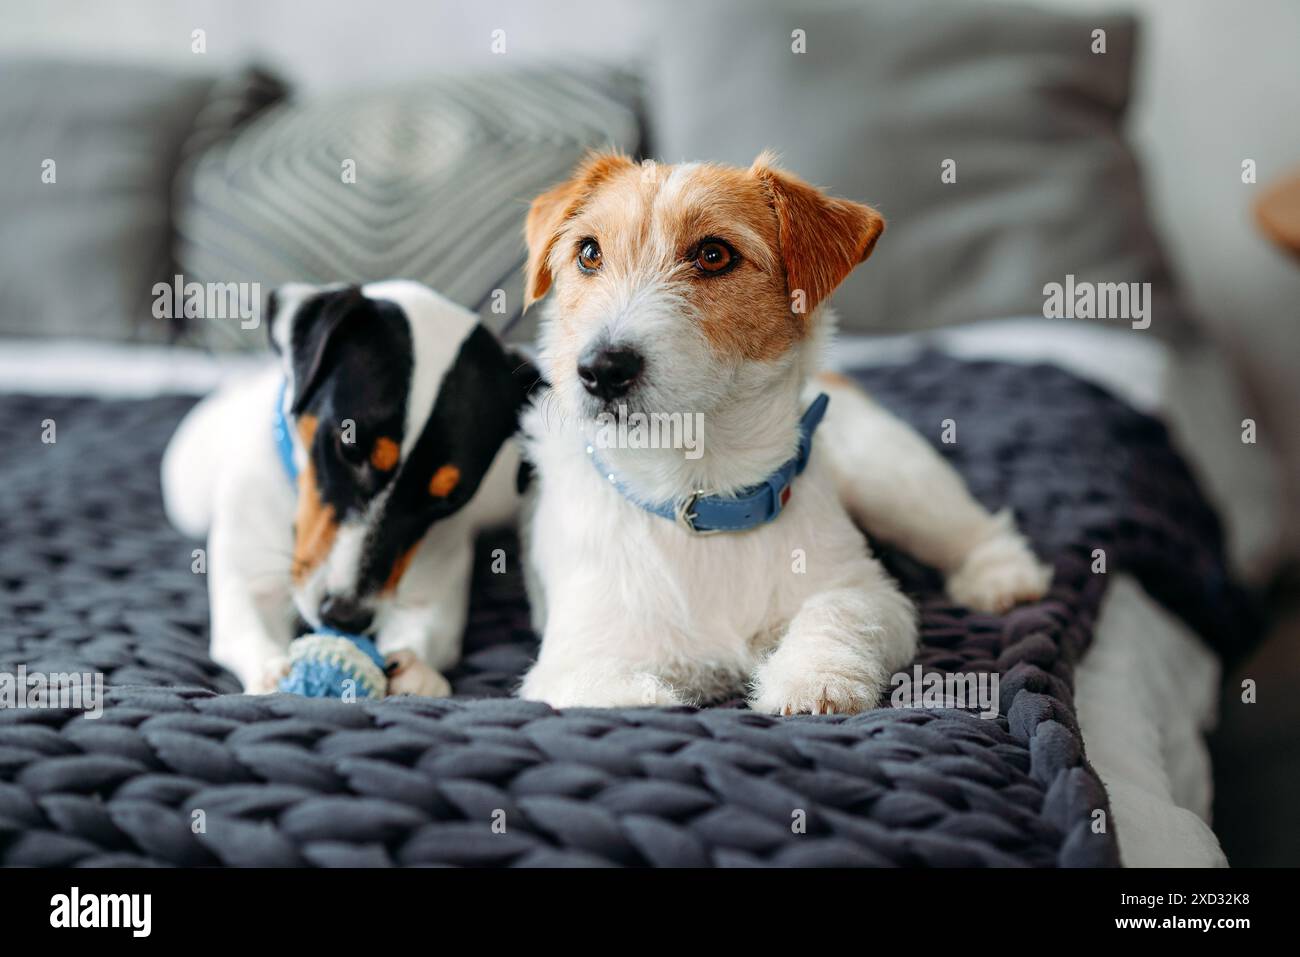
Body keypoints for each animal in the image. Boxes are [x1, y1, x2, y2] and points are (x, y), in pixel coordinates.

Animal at [163, 280, 538, 691]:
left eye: (449, 498)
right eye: (349, 448)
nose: (346, 618)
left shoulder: (429, 594)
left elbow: (425, 628)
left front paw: (416, 671)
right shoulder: (252, 581)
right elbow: (252, 628)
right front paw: (273, 673)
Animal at [512, 153, 1050, 712]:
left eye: (713, 255)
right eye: (588, 253)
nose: (602, 369)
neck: (700, 492)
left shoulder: (866, 590)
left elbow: (836, 611)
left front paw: (814, 679)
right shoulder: (576, 662)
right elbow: (628, 698)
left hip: (889, 481)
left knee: (974, 530)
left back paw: (1004, 578)